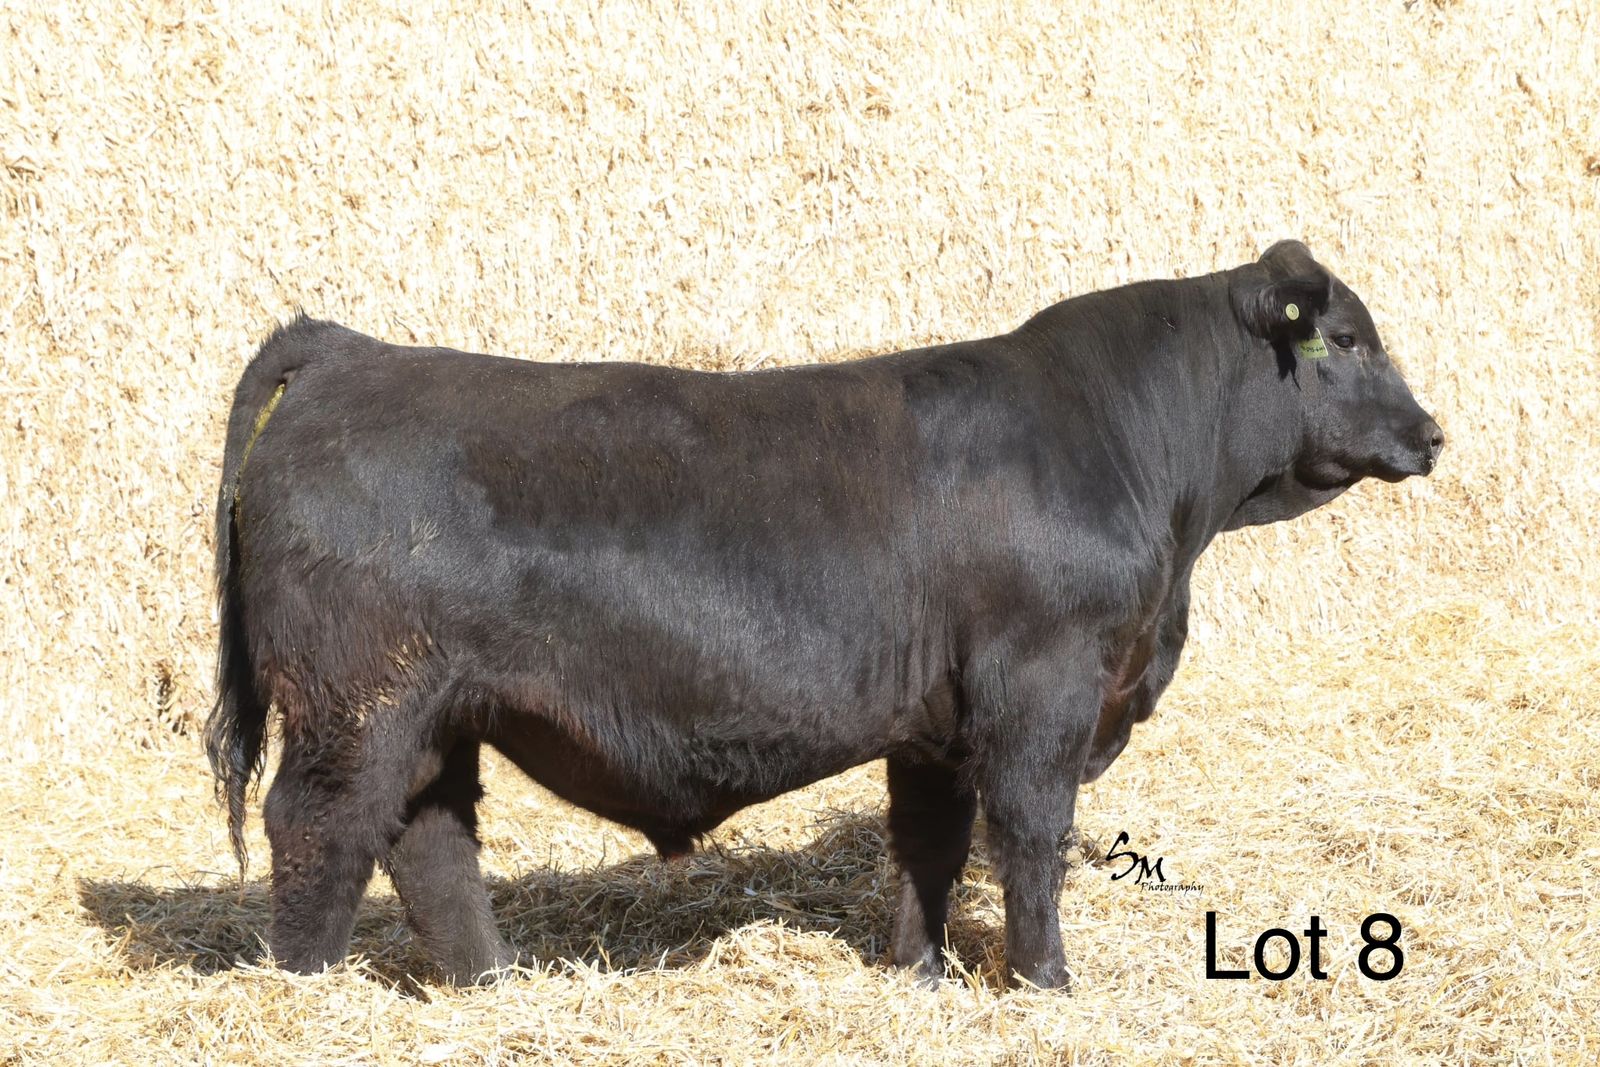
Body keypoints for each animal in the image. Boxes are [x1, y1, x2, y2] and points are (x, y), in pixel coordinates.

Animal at [205, 240, 1442, 988]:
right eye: (1346, 339)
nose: (1429, 433)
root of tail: (349, 351)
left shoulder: (937, 721)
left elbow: (927, 843)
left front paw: (917, 970)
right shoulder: (1042, 687)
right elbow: (1028, 836)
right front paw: (1044, 979)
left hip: (433, 713)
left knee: (429, 839)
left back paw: (489, 982)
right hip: (355, 702)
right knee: (319, 827)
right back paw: (306, 987)